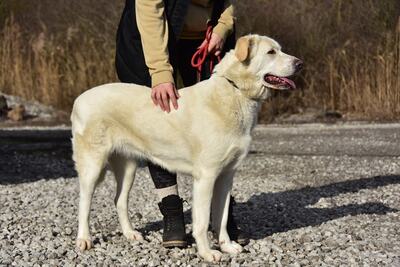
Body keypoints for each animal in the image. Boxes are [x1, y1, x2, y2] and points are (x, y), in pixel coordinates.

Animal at [71, 34, 304, 262]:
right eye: (271, 52)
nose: (300, 63)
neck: (234, 90)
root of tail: (78, 99)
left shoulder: (226, 176)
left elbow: (221, 217)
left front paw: (227, 246)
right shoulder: (206, 177)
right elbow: (202, 221)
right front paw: (207, 253)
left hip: (128, 167)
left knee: (119, 200)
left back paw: (130, 234)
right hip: (93, 165)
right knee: (84, 202)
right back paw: (84, 239)